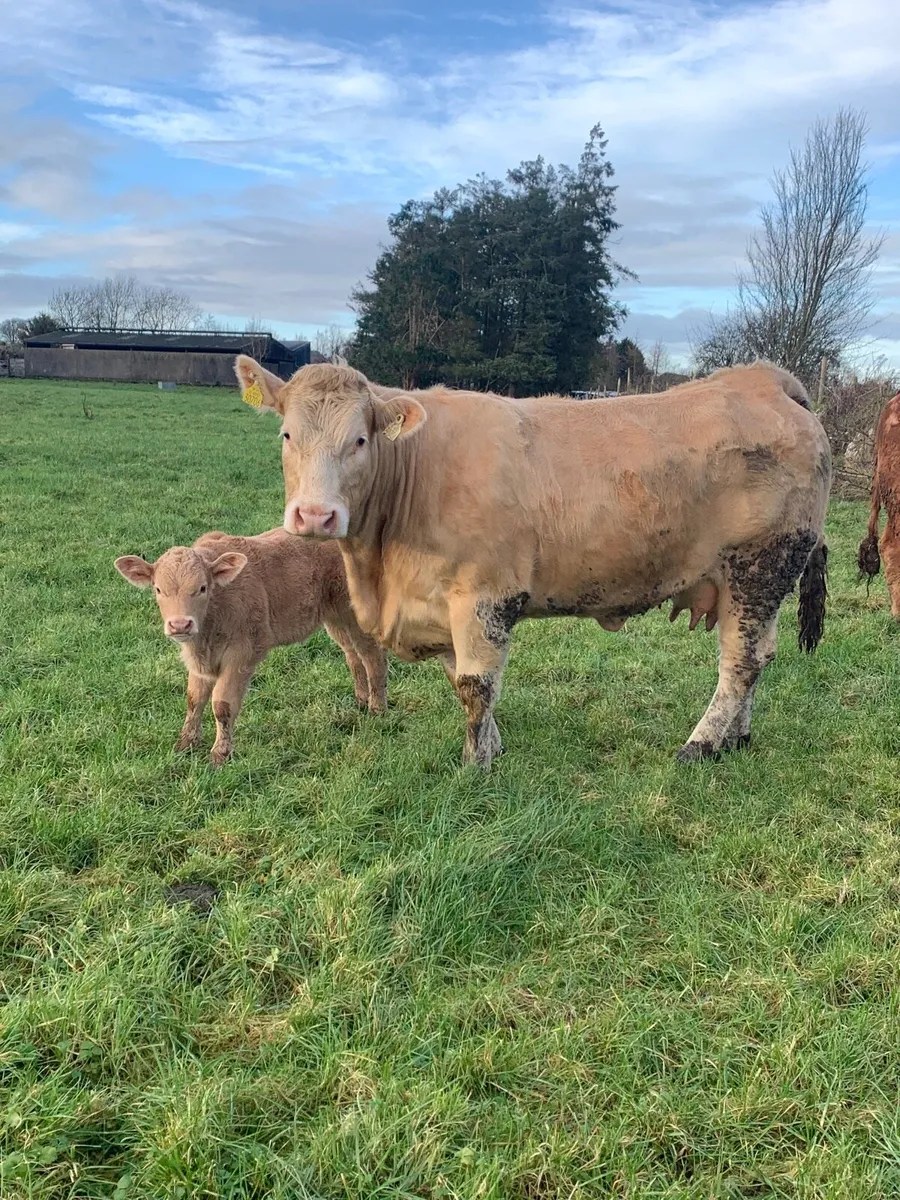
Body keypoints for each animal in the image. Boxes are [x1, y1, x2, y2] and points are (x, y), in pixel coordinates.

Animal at [114, 528, 387, 765]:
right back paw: (361, 699)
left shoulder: (241, 653)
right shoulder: (200, 660)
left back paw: (377, 708)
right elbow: (194, 699)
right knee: (352, 654)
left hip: (354, 614)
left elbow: (222, 704)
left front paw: (220, 754)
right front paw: (186, 744)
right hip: (334, 618)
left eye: (202, 587)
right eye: (158, 589)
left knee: (372, 656)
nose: (180, 624)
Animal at [234, 357, 831, 769]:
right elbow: (462, 677)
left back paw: (702, 744)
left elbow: (475, 684)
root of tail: (762, 379)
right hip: (753, 584)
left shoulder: (483, 595)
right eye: (286, 434)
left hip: (760, 565)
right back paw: (737, 738)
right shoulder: (444, 605)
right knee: (759, 655)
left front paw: (475, 765)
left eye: (360, 440)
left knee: (741, 662)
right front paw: (494, 746)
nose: (315, 516)